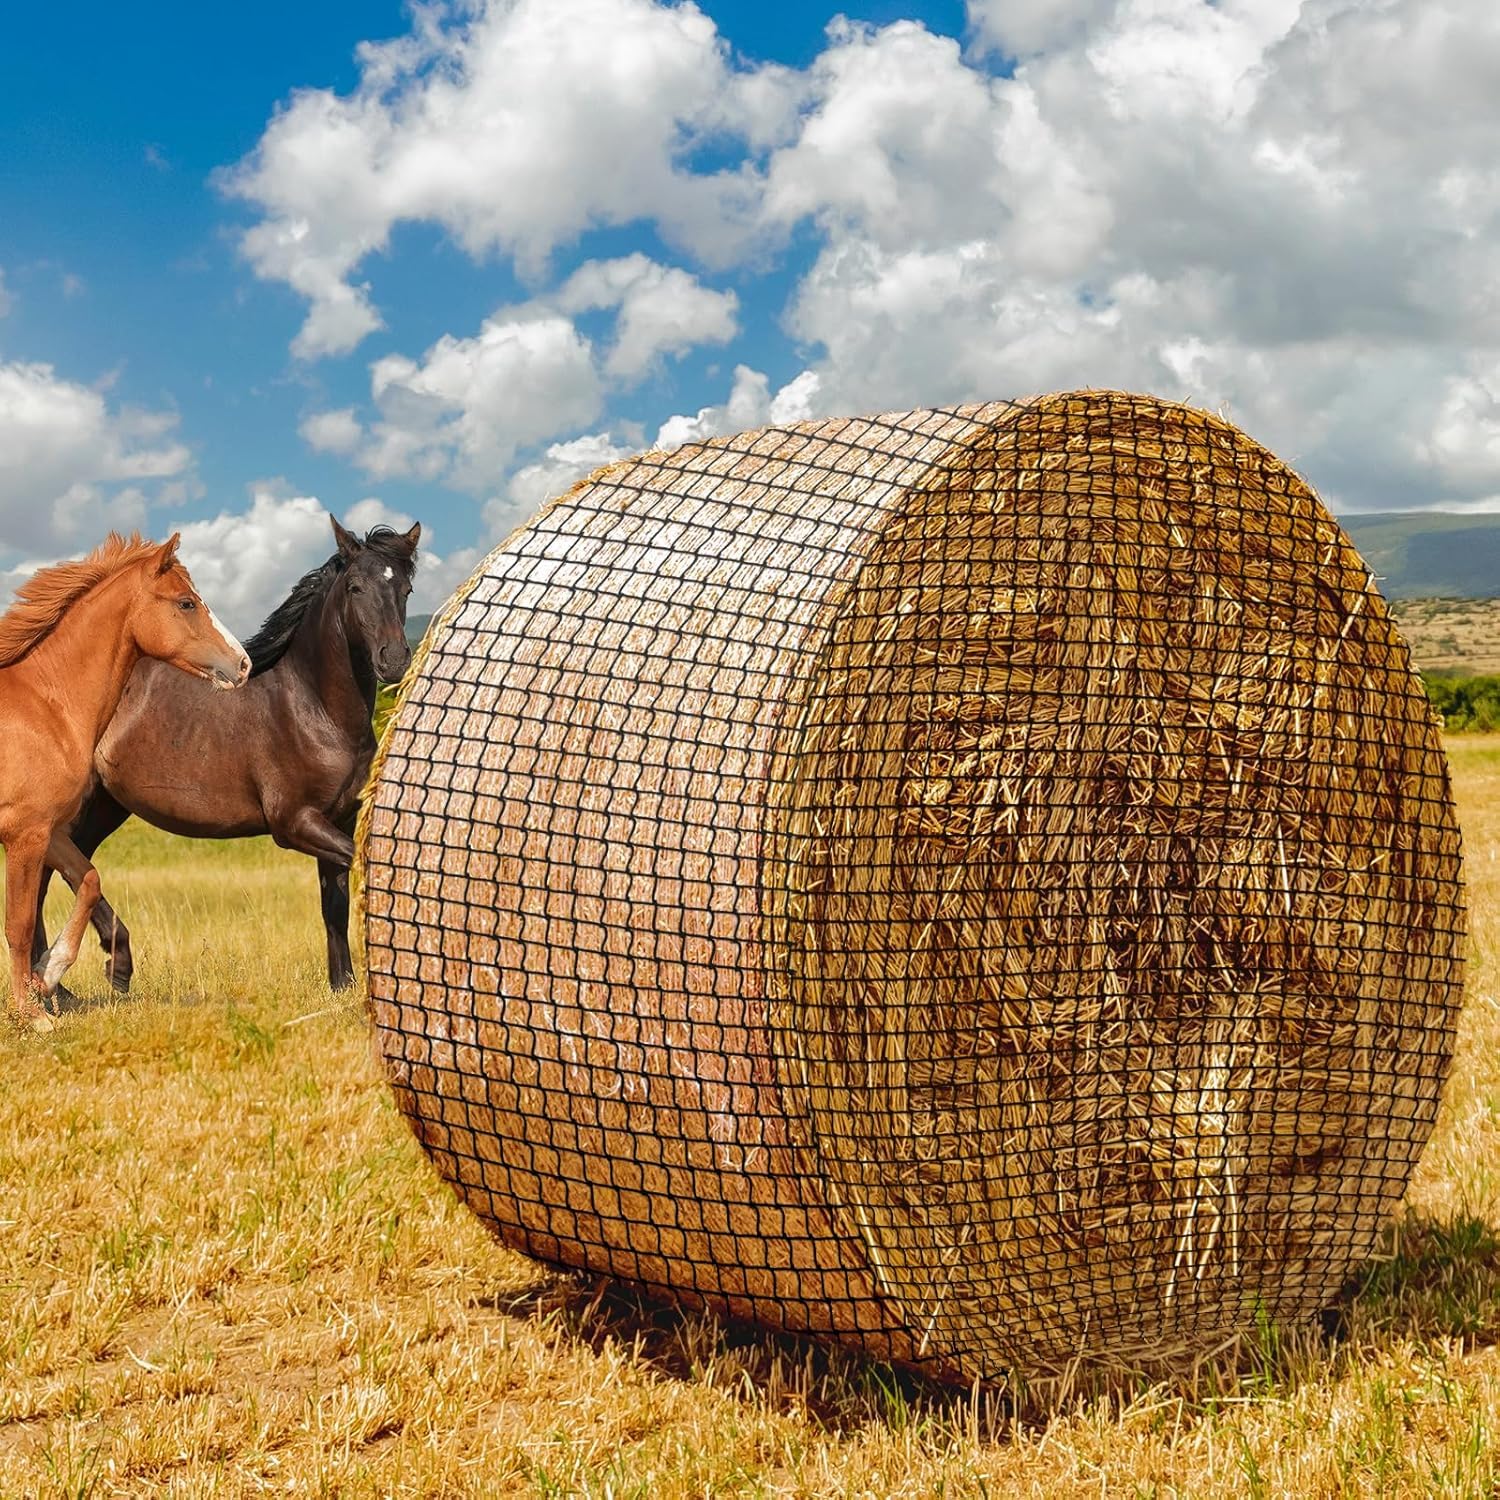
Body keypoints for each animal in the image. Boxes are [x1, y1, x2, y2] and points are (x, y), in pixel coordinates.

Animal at [0, 532, 248, 1030]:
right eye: (186, 602)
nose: (243, 664)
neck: (46, 706)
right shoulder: (24, 833)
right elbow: (18, 924)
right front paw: (32, 1015)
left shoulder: (50, 831)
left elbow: (90, 881)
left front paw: (47, 976)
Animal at [33, 517, 420, 997]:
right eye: (354, 587)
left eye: (405, 588)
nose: (394, 660)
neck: (315, 709)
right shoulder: (295, 823)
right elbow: (364, 863)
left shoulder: (338, 819)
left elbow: (334, 906)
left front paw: (342, 986)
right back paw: (80, 974)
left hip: (106, 806)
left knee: (65, 869)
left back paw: (71, 982)